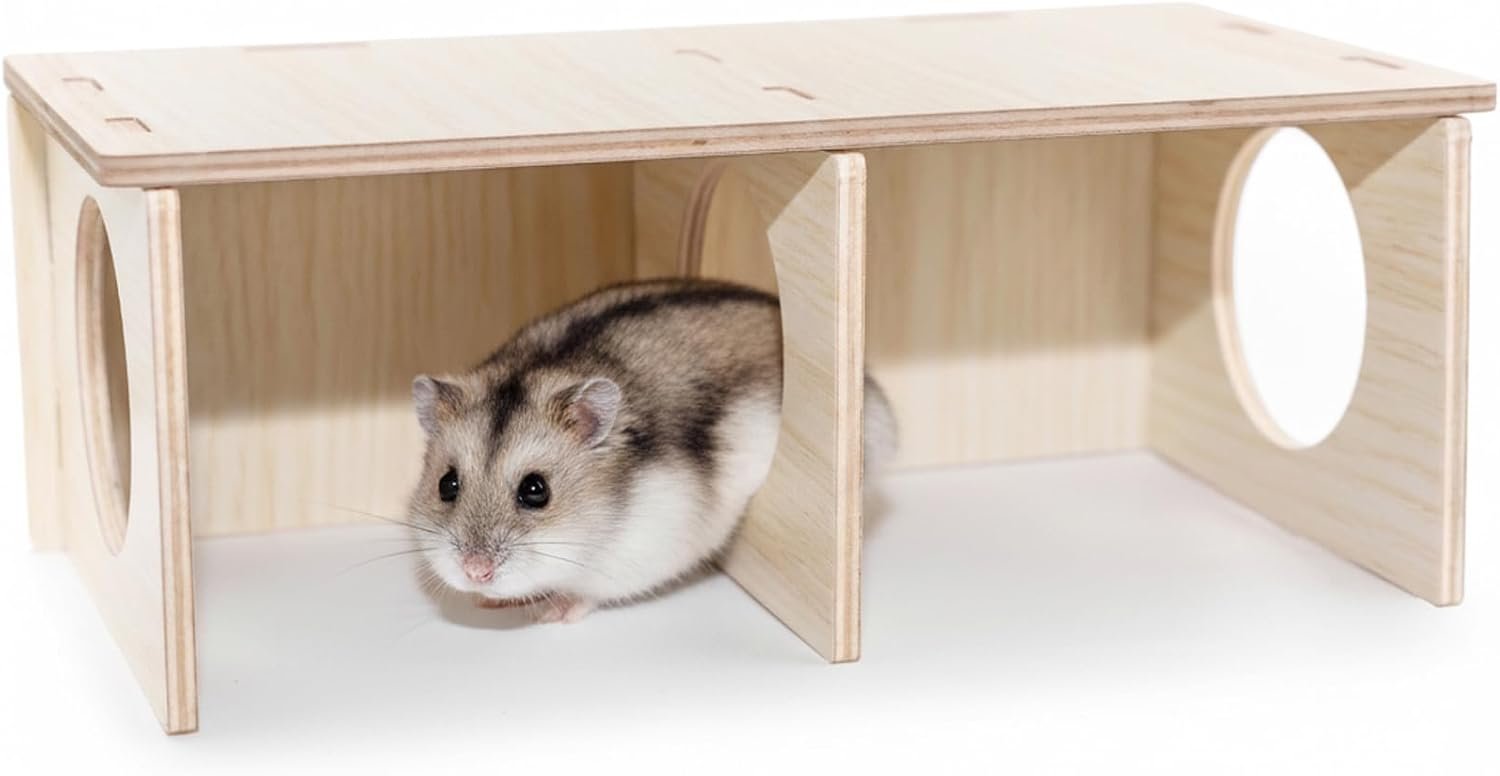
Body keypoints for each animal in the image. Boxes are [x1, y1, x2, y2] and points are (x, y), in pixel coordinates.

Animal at [406, 278, 897, 623]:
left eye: (535, 490)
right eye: (446, 484)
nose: (475, 573)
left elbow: (587, 590)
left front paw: (552, 612)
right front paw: (489, 604)